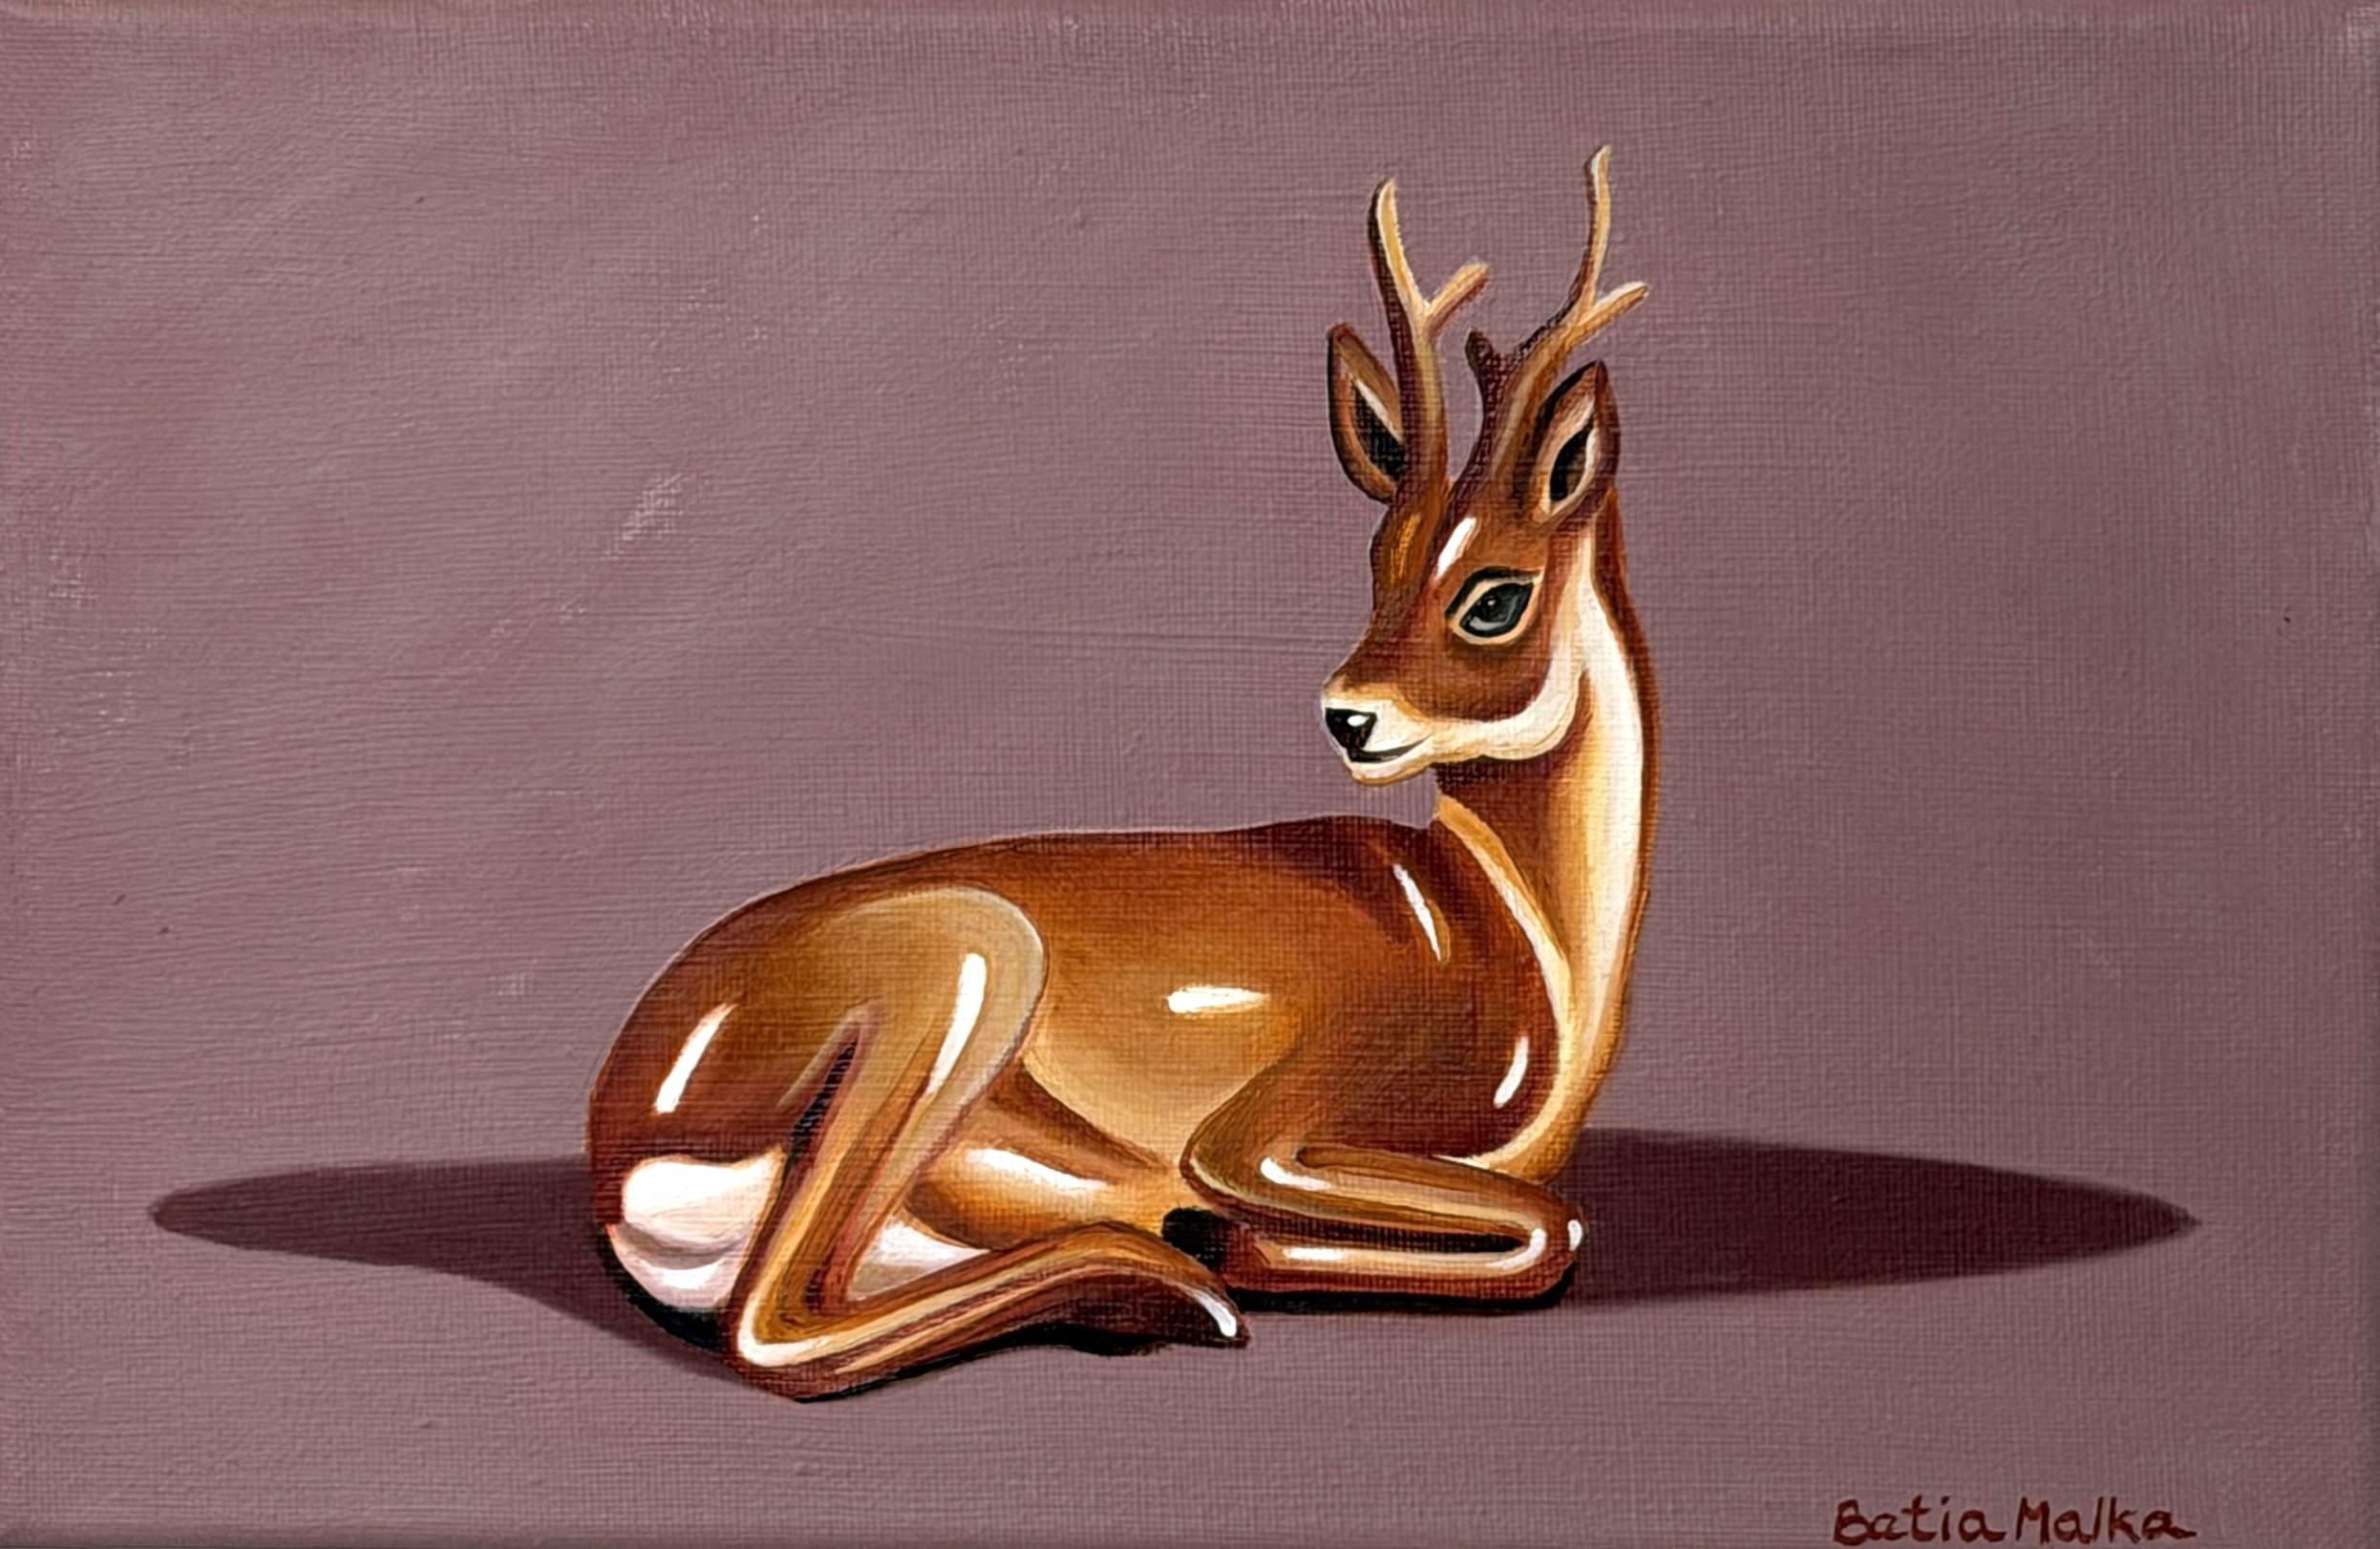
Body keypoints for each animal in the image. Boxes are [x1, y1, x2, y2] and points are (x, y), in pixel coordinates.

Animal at [585, 148, 1658, 1400]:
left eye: (1493, 593)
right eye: (1379, 562)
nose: (1349, 714)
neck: (1512, 930)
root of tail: (623, 1130)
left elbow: (1542, 1219)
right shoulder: (1262, 1131)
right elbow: (1549, 1226)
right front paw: (1226, 1246)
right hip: (968, 959)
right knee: (775, 1324)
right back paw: (1162, 1281)